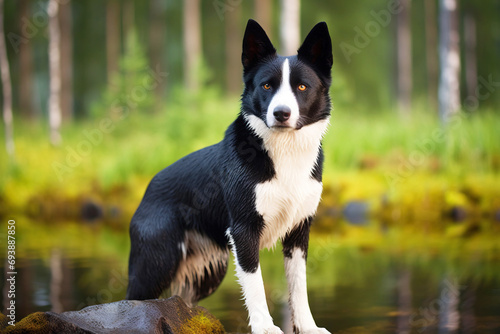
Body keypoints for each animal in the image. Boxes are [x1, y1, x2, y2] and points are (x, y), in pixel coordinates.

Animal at [126, 20, 332, 334]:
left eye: (302, 86)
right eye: (267, 85)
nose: (281, 113)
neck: (283, 152)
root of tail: (147, 190)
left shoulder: (299, 231)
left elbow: (299, 286)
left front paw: (309, 327)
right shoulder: (244, 230)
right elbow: (255, 284)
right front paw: (265, 328)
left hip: (206, 274)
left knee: (183, 303)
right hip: (157, 263)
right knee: (131, 299)